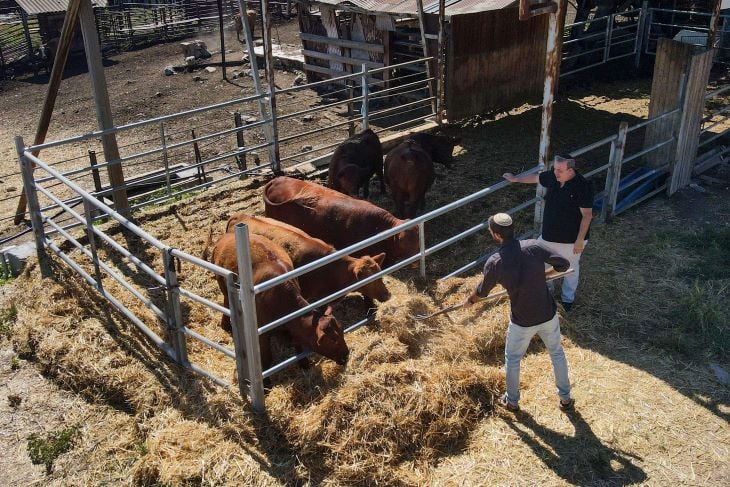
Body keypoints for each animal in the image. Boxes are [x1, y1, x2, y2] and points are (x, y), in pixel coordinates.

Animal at [209, 234, 348, 368]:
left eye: (342, 332)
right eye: (333, 339)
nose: (346, 355)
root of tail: (225, 237)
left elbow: (298, 345)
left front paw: (304, 363)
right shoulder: (261, 331)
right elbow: (266, 356)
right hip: (223, 285)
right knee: (227, 302)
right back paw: (226, 325)